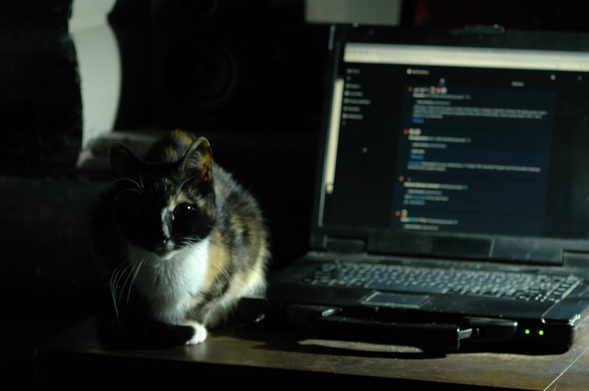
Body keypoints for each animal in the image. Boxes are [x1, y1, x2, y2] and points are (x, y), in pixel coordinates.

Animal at [92, 130, 268, 348]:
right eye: (141, 210)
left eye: (184, 209)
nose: (163, 237)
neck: (169, 267)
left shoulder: (237, 243)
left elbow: (215, 294)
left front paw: (194, 323)